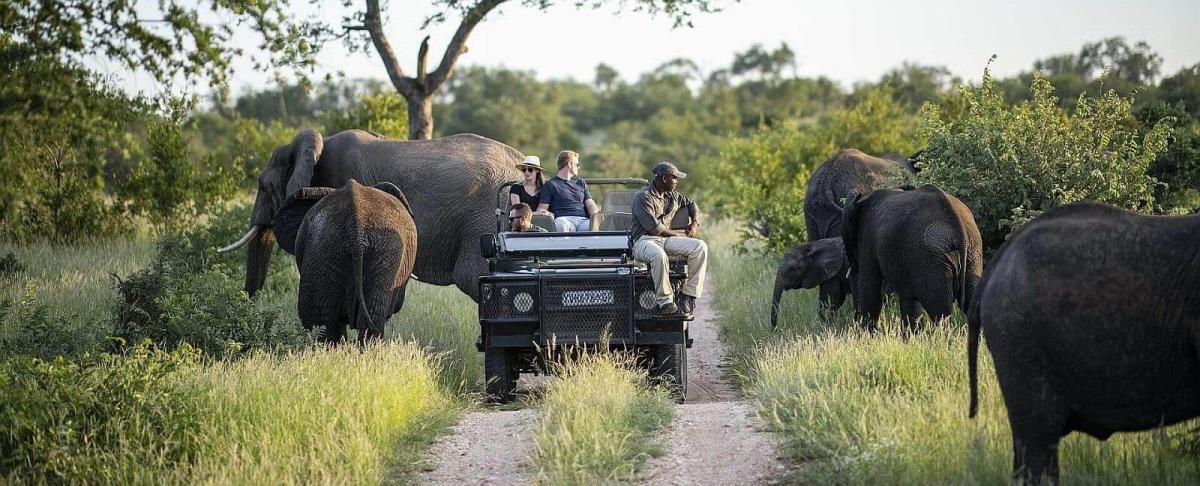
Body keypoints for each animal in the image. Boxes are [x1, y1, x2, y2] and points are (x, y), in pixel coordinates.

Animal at [841, 184, 982, 332]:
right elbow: (909, 300)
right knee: (971, 300)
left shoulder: (868, 239)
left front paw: (867, 334)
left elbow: (870, 286)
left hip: (931, 258)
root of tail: (959, 227)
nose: (855, 326)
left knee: (940, 310)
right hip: (972, 252)